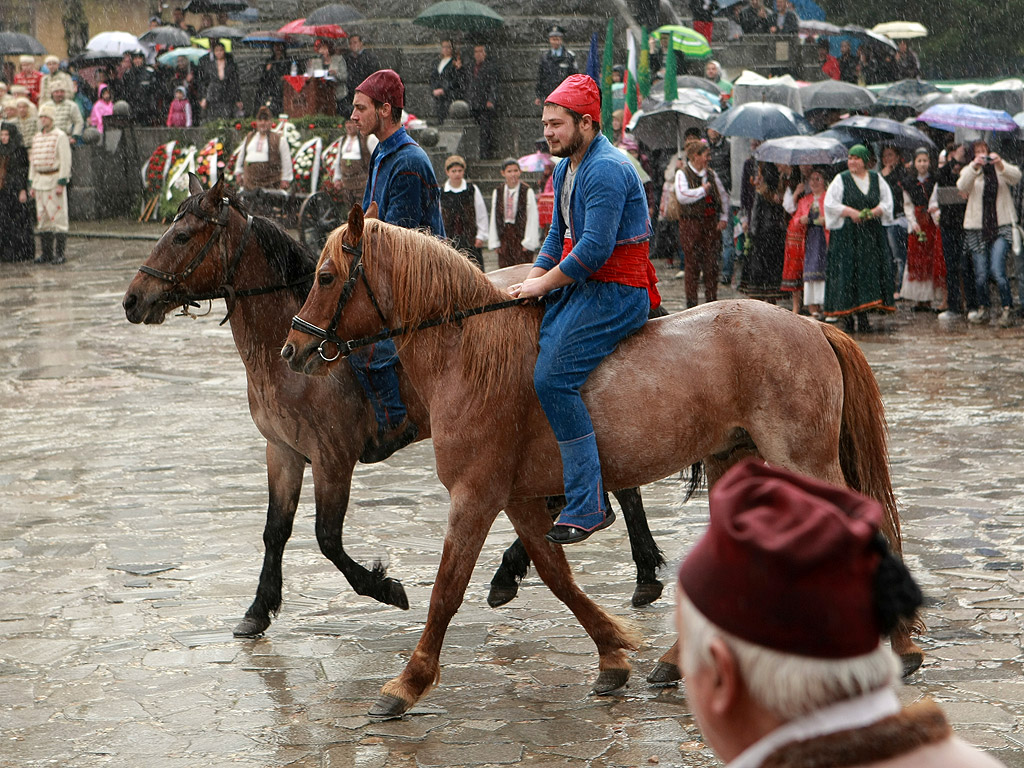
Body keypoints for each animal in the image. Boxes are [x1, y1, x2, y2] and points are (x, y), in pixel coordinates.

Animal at [121, 177, 663, 638]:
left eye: (182, 236)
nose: (132, 299)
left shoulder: (332, 457)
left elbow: (326, 538)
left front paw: (384, 588)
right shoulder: (283, 451)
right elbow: (276, 532)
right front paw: (258, 609)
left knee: (611, 484)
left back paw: (626, 574)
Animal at [282, 205, 929, 720]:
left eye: (325, 276)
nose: (293, 348)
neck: (469, 352)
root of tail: (811, 326)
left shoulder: (476, 496)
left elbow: (446, 590)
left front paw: (407, 683)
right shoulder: (518, 500)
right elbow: (557, 578)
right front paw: (612, 653)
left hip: (801, 457)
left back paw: (899, 641)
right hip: (735, 461)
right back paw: (676, 661)